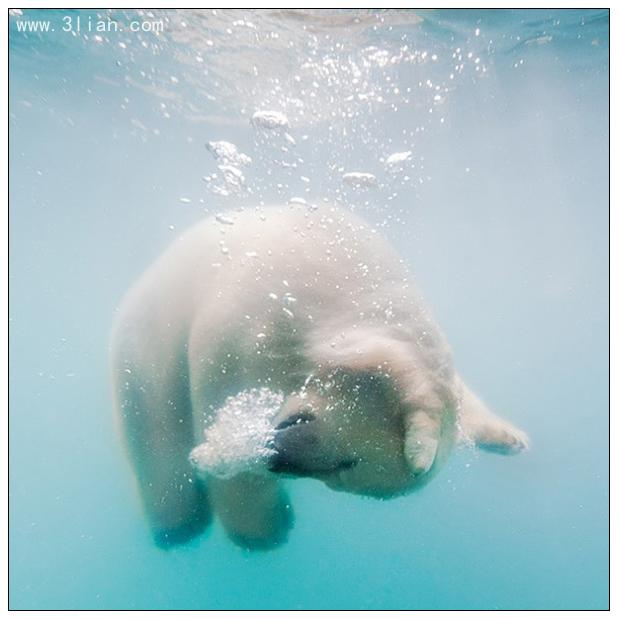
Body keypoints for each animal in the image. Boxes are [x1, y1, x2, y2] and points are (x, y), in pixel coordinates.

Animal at [109, 206, 524, 548]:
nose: (278, 459)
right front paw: (264, 529)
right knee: (156, 434)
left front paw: (511, 438)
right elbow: (220, 402)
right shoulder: (250, 314)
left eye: (344, 470)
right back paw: (179, 528)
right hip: (143, 344)